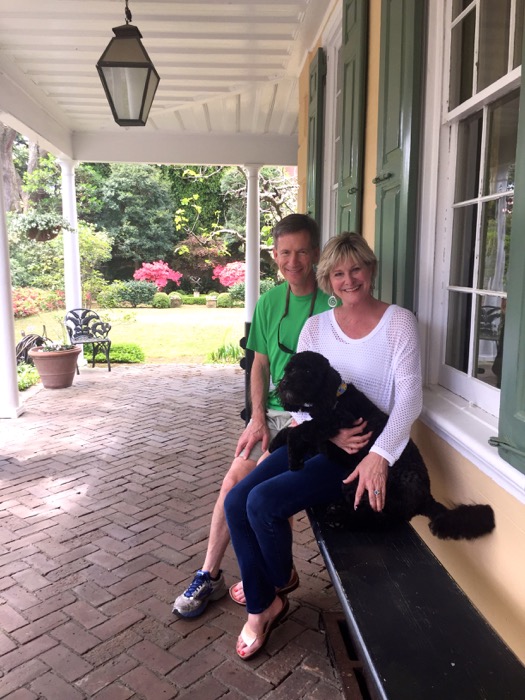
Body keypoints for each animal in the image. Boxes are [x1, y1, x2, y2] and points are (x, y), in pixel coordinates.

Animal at [270, 350, 496, 540]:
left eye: (308, 370)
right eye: (289, 370)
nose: (285, 383)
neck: (334, 398)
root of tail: (426, 497)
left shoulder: (336, 420)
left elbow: (301, 429)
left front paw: (293, 457)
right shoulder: (324, 438)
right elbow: (294, 430)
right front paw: (276, 442)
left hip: (363, 482)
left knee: (378, 519)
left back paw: (340, 518)